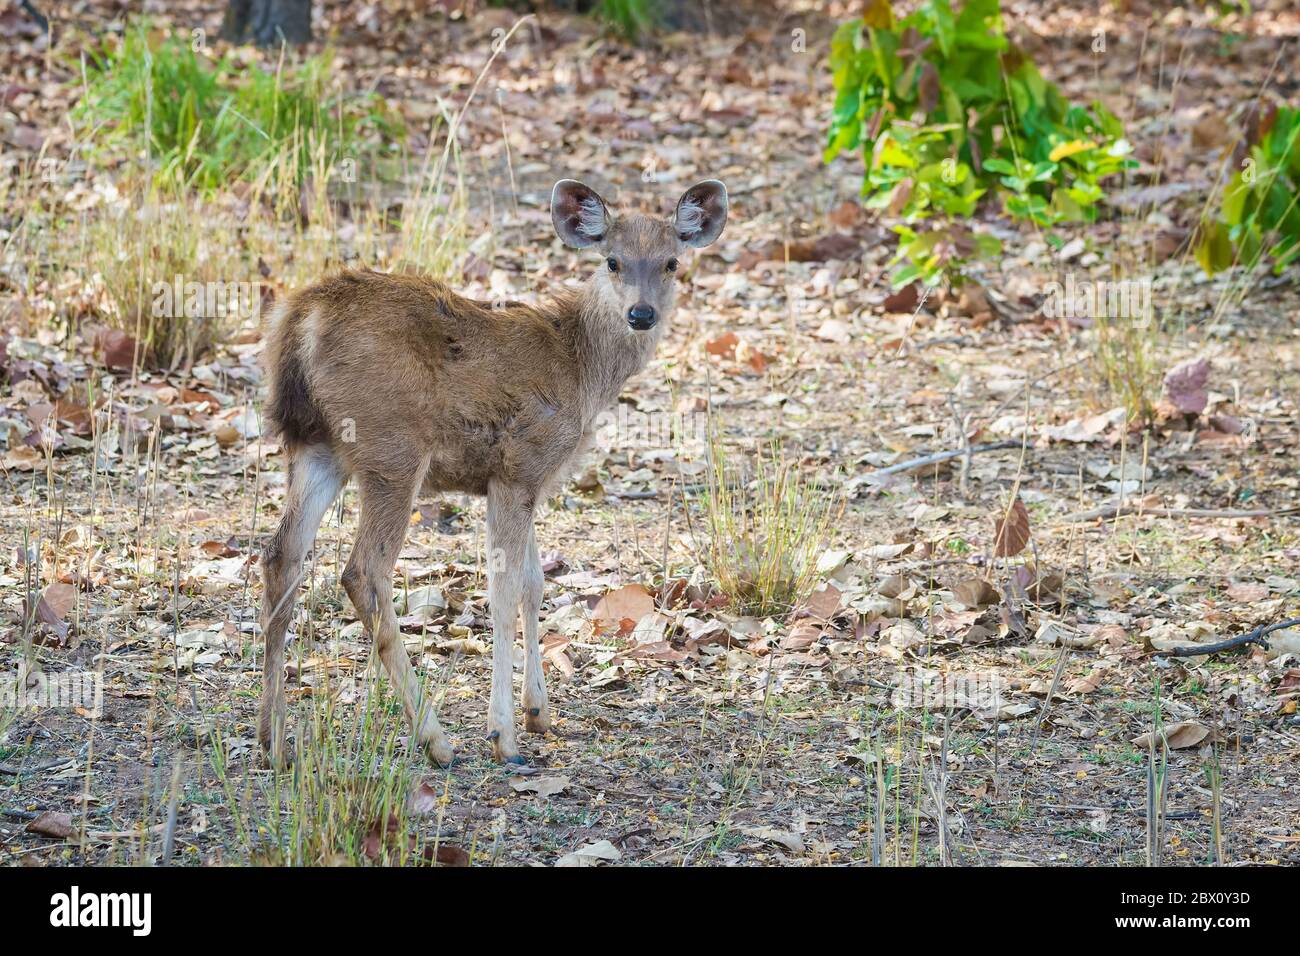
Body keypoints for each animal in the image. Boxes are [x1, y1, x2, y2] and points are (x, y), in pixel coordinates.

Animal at [253, 175, 722, 764]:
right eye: (612, 260)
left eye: (671, 262)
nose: (642, 314)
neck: (580, 368)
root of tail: (300, 318)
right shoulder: (520, 464)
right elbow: (502, 592)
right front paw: (504, 735)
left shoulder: (527, 480)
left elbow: (534, 585)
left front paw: (539, 712)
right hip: (392, 447)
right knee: (363, 570)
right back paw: (434, 738)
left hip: (316, 446)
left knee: (281, 556)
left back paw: (273, 739)